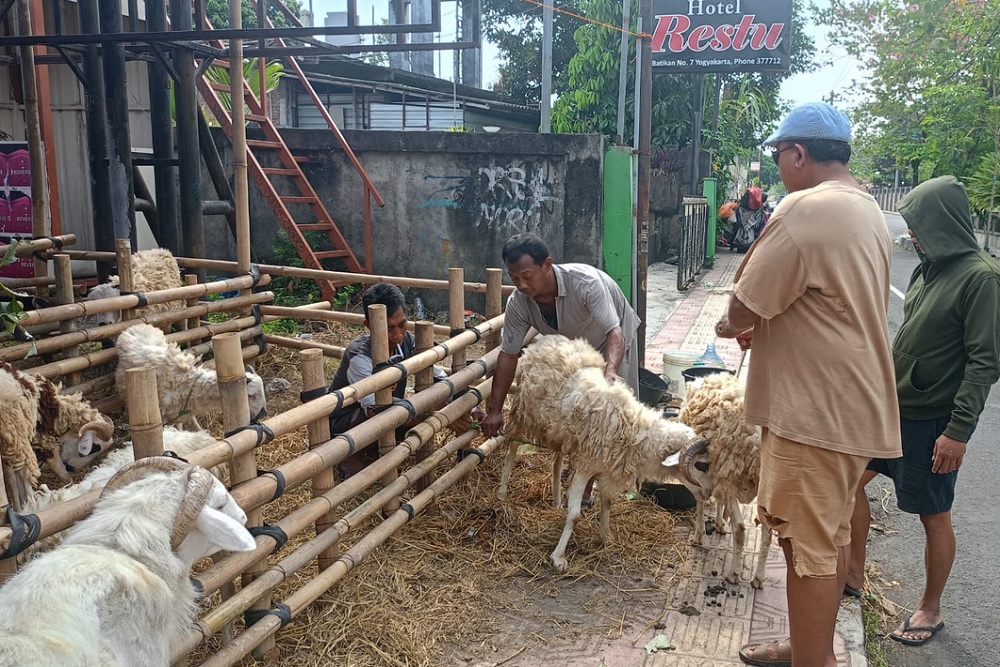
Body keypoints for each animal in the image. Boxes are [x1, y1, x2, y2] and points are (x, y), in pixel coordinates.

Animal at [0, 360, 114, 512]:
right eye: (94, 447)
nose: (71, 468)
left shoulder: (10, 442)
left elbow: (13, 477)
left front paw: (21, 506)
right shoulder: (32, 441)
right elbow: (32, 475)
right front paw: (31, 504)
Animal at [114, 324, 268, 434]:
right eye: (251, 395)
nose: (263, 414)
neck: (186, 382)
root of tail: (137, 325)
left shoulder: (182, 409)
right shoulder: (163, 415)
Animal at [504, 336, 708, 576]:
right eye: (701, 465)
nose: (707, 494)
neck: (633, 430)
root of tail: (542, 341)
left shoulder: (607, 470)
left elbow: (608, 502)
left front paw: (605, 536)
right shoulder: (585, 467)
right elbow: (575, 516)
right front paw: (559, 557)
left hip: (559, 433)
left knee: (556, 463)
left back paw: (556, 502)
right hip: (522, 411)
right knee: (512, 447)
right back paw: (501, 493)